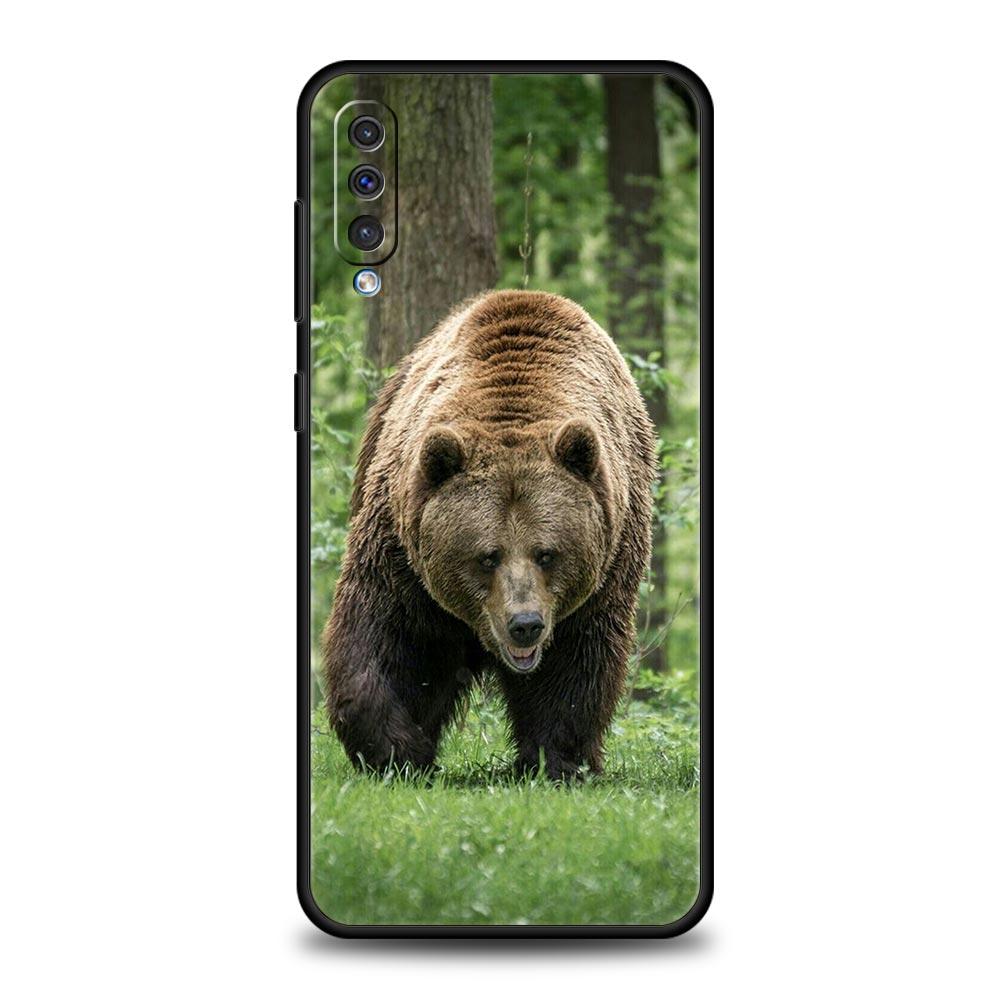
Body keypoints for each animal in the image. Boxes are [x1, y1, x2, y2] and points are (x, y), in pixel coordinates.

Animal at [322, 289, 656, 780]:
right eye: (487, 555)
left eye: (547, 553)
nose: (525, 624)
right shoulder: (402, 555)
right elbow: (383, 636)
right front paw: (397, 750)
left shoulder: (606, 566)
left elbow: (577, 663)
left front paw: (556, 759)